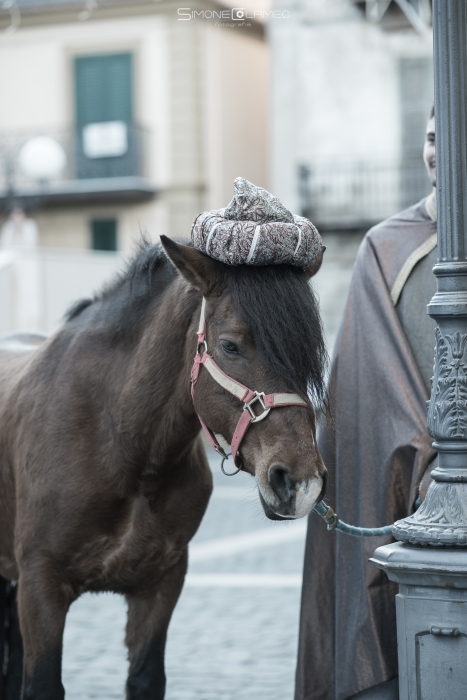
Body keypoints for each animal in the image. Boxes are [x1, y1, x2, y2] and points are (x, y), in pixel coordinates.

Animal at [0, 238, 328, 696]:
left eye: (308, 352)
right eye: (231, 345)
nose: (300, 484)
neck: (121, 445)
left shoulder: (160, 584)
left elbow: (146, 677)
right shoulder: (40, 585)